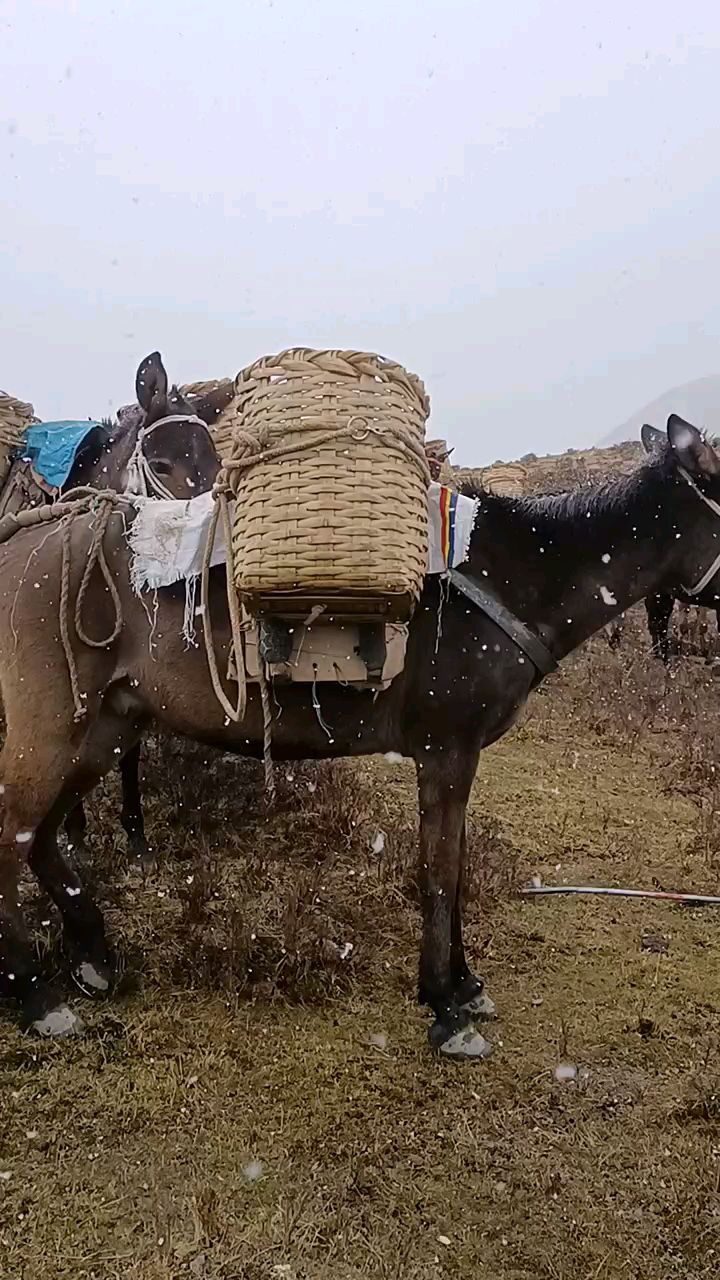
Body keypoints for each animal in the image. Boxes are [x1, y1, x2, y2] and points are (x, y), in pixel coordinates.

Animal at [1, 414, 719, 1057]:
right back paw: (36, 997)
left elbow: (454, 865)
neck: (511, 576)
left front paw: (465, 985)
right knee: (15, 838)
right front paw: (445, 1006)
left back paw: (92, 953)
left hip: (107, 726)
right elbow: (441, 870)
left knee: (44, 834)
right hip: (51, 726)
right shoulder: (446, 751)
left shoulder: (456, 756)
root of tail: (19, 543)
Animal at [58, 352, 226, 865]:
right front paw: (74, 834)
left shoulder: (128, 676)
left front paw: (136, 836)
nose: (212, 562)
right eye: (161, 464)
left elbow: (126, 752)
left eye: (216, 463)